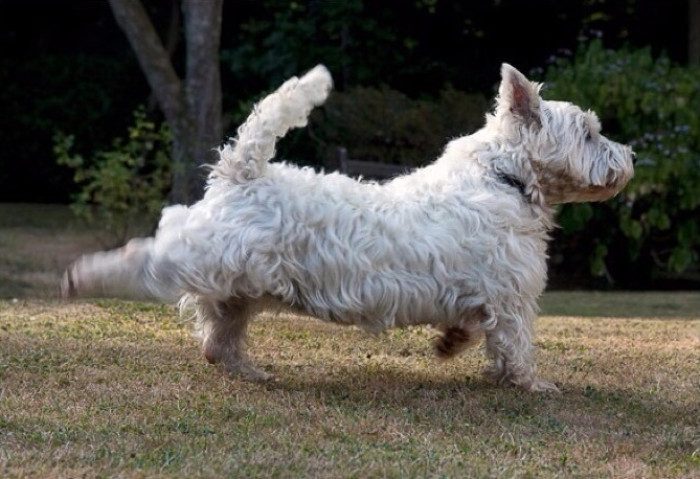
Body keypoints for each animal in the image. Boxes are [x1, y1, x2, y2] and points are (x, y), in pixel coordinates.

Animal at [63, 64, 636, 394]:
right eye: (590, 132)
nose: (630, 157)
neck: (506, 177)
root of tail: (241, 171)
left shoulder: (483, 295)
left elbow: (476, 330)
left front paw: (451, 346)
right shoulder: (512, 296)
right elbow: (515, 344)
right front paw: (532, 385)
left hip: (240, 288)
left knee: (217, 340)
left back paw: (251, 371)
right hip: (201, 256)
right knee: (143, 260)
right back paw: (79, 277)